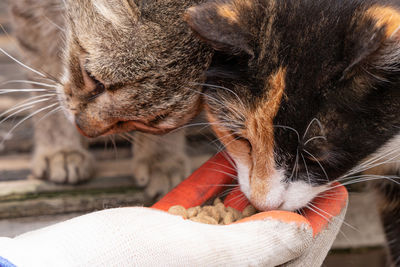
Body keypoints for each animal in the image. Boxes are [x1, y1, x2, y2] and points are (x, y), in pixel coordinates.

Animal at [8, 0, 212, 197]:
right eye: (92, 77)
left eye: (148, 122)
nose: (82, 129)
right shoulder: (32, 13)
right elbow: (44, 73)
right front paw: (61, 149)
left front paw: (162, 158)